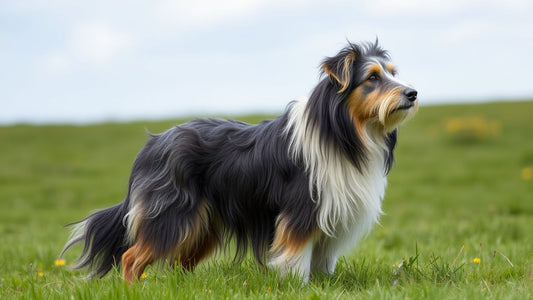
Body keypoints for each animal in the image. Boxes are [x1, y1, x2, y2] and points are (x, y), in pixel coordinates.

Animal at [61, 39, 416, 282]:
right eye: (371, 78)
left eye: (393, 74)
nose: (412, 93)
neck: (345, 131)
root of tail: (153, 144)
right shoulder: (301, 212)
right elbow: (296, 258)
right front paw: (298, 286)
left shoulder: (331, 216)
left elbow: (321, 261)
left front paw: (322, 285)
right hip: (172, 215)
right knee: (132, 257)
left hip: (202, 225)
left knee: (178, 262)